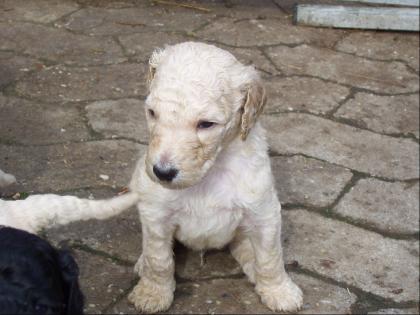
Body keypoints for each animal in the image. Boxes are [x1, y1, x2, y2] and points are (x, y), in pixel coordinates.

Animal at [128, 42, 302, 314]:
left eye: (206, 124)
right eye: (152, 113)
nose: (162, 172)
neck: (210, 171)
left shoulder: (264, 211)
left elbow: (270, 257)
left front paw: (279, 291)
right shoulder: (155, 211)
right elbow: (159, 259)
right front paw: (152, 293)